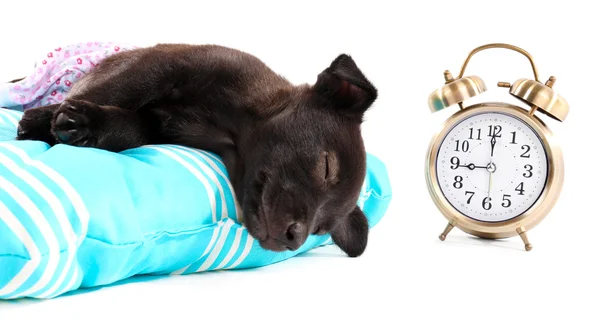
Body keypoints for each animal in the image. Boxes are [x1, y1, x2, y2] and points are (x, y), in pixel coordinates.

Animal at [16, 44, 378, 258]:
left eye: (321, 230)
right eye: (326, 166)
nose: (295, 241)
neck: (225, 128)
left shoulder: (156, 127)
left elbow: (129, 127)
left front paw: (87, 126)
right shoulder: (162, 63)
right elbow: (113, 89)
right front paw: (49, 118)